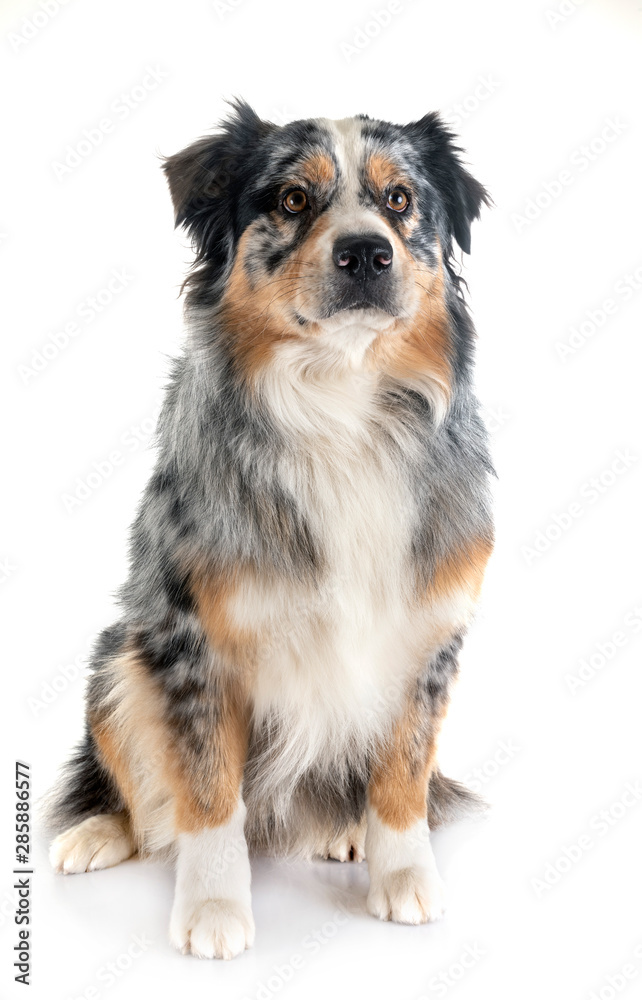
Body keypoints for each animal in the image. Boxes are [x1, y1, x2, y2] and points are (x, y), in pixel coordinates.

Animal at [47, 101, 492, 960]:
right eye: (291, 199)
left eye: (399, 200)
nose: (366, 253)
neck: (339, 400)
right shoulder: (189, 639)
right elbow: (207, 790)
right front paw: (215, 909)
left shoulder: (426, 631)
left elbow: (403, 771)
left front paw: (404, 876)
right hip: (121, 656)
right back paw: (98, 833)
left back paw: (345, 831)